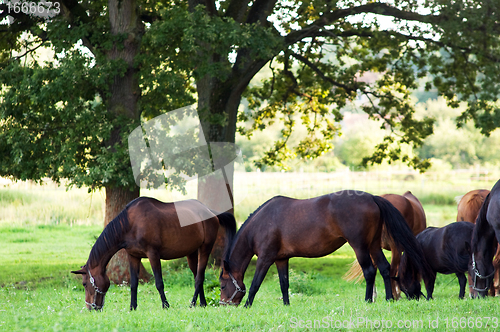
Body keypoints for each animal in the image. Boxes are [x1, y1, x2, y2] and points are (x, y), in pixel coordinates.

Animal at [71, 196, 237, 310]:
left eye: (85, 284)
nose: (90, 307)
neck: (131, 224)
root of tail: (210, 212)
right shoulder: (133, 256)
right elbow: (133, 283)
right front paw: (133, 307)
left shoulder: (153, 255)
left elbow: (159, 283)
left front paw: (166, 305)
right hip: (191, 253)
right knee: (197, 276)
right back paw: (202, 303)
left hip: (205, 248)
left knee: (199, 277)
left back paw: (192, 303)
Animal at [219, 189, 434, 306]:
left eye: (222, 285)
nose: (223, 304)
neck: (262, 223)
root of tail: (372, 197)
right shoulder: (281, 259)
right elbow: (284, 284)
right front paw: (287, 305)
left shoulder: (265, 259)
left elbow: (255, 284)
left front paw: (247, 306)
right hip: (373, 245)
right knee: (384, 268)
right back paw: (389, 299)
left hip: (360, 246)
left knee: (370, 271)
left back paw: (368, 300)